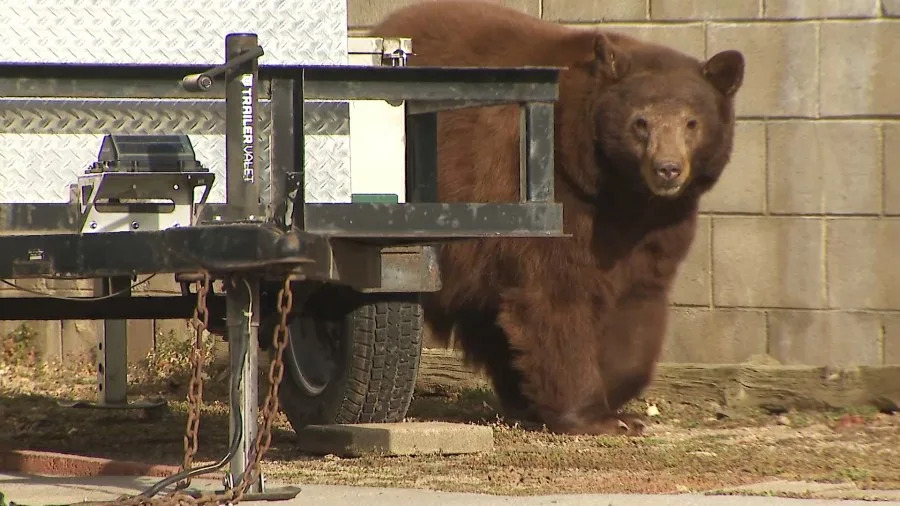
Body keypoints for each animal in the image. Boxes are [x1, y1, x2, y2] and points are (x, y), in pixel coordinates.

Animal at [370, 0, 744, 435]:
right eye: (641, 122)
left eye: (691, 122)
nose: (667, 169)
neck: (616, 188)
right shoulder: (547, 191)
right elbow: (556, 292)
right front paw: (594, 414)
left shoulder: (657, 224)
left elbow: (638, 299)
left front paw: (619, 398)